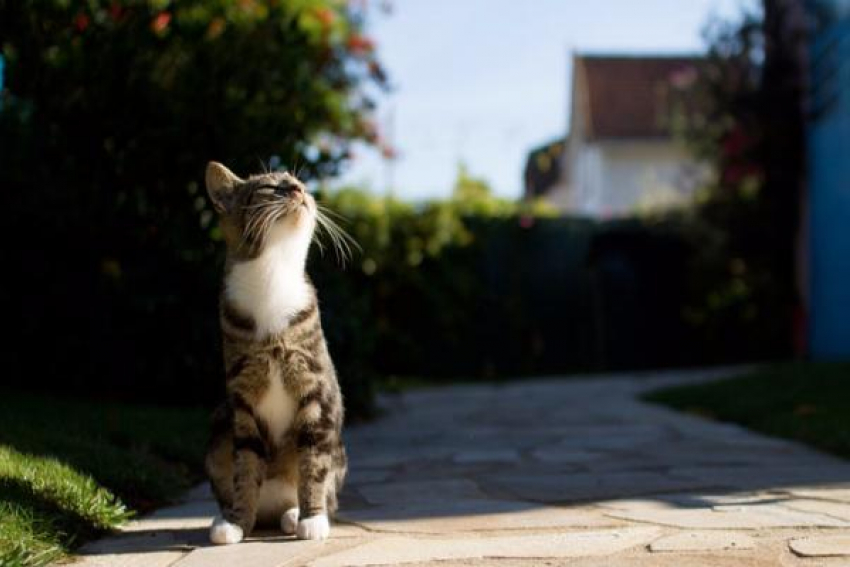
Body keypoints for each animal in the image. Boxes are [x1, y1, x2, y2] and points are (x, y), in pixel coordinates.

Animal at [204, 161, 346, 544]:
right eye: (271, 187)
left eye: (301, 185)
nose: (299, 192)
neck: (273, 275)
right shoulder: (241, 399)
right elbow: (245, 466)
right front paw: (237, 522)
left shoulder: (316, 391)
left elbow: (313, 463)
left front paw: (312, 518)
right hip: (218, 431)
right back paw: (227, 516)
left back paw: (294, 514)